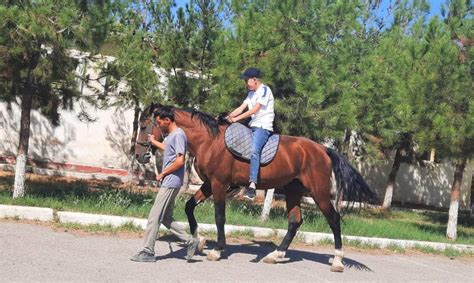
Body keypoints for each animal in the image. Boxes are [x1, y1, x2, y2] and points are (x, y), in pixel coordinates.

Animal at [136, 105, 378, 272]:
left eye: (145, 125)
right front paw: (197, 241)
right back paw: (275, 255)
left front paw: (217, 249)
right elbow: (189, 207)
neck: (209, 141)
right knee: (295, 221)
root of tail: (323, 149)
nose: (139, 155)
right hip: (293, 192)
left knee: (334, 220)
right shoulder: (208, 184)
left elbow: (219, 216)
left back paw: (337, 260)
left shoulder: (219, 184)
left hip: (319, 193)